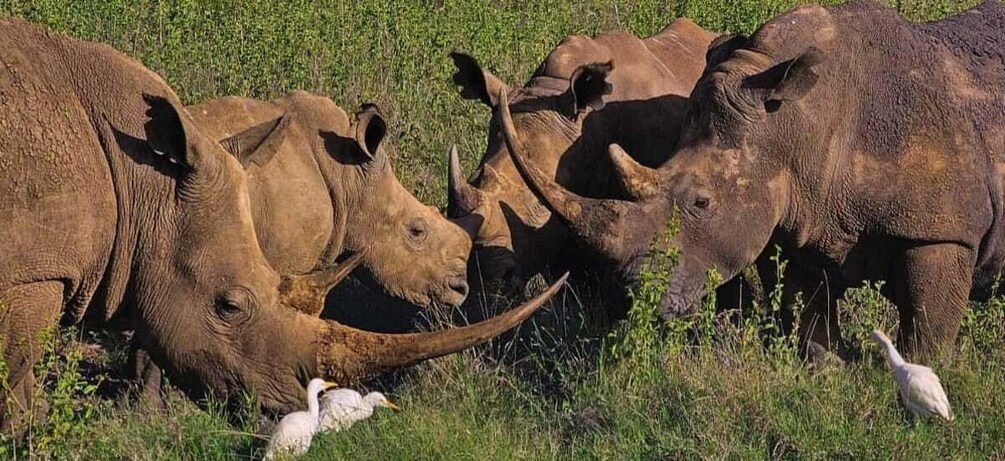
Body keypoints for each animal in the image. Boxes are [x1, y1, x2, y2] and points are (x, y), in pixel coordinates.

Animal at [504, 1, 1005, 358]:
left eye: (702, 202)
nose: (632, 297)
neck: (798, 125)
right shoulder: (803, 218)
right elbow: (810, 328)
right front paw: (828, 370)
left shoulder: (944, 229)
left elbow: (925, 335)